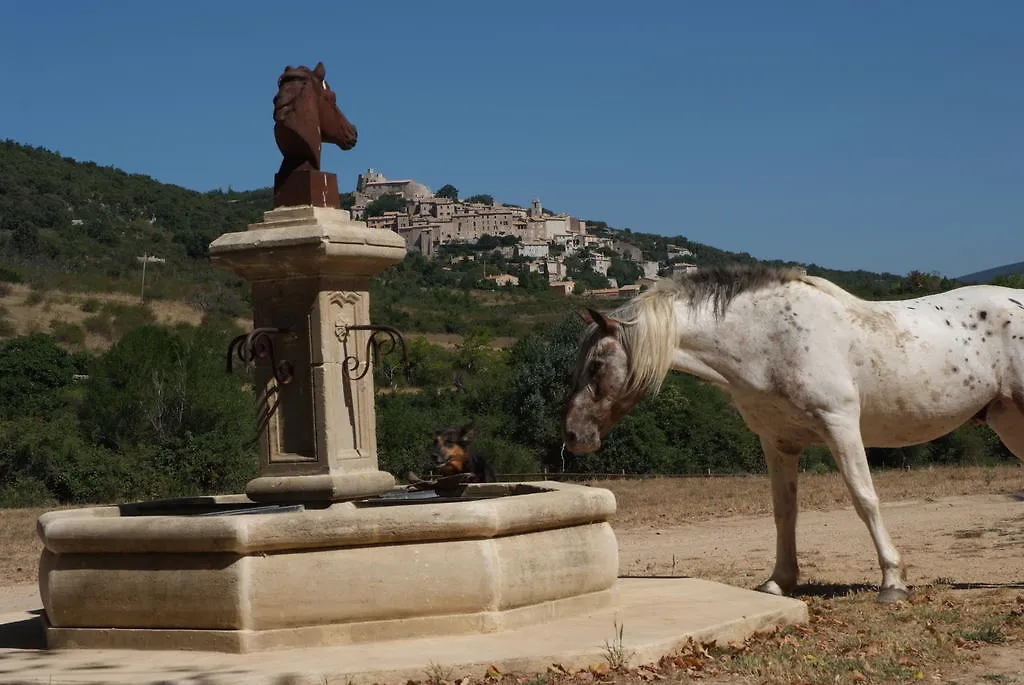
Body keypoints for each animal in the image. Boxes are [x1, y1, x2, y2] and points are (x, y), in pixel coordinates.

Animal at [565, 264, 1019, 602]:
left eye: (597, 365)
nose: (572, 435)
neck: (769, 339)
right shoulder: (778, 442)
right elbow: (784, 512)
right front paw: (778, 581)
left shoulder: (840, 427)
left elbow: (865, 500)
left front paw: (892, 582)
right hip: (1009, 421)